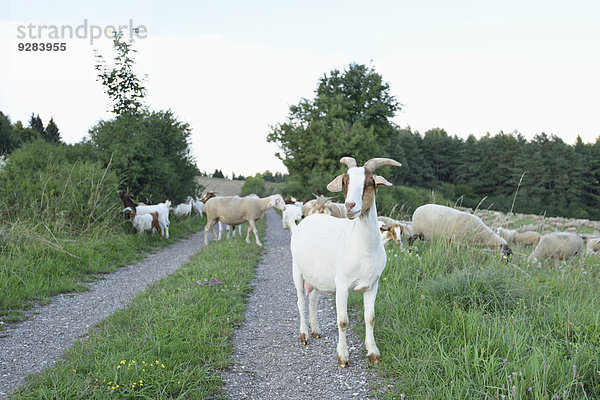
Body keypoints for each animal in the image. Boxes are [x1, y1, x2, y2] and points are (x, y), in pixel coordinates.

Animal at [290, 155, 400, 366]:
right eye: (344, 182)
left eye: (369, 183)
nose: (349, 206)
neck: (362, 246)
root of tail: (307, 219)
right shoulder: (342, 286)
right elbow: (342, 321)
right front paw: (343, 356)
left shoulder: (373, 285)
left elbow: (370, 317)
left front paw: (373, 352)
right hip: (296, 270)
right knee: (300, 301)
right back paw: (304, 335)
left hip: (316, 276)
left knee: (313, 298)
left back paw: (315, 330)